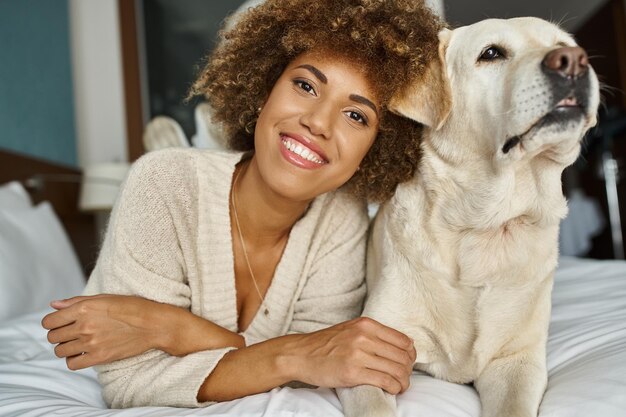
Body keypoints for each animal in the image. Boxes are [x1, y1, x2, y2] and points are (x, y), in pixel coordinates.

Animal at [336, 16, 600, 416]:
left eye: (562, 44)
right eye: (491, 53)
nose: (572, 60)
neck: (485, 227)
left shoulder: (517, 360)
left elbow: (513, 407)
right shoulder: (372, 352)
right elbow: (375, 407)